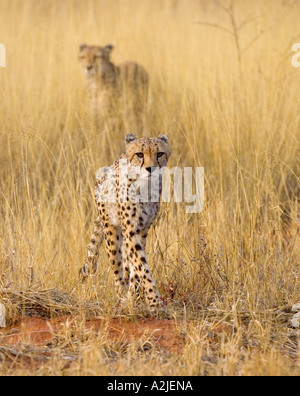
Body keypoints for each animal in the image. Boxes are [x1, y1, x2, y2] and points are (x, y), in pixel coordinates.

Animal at [80, 133, 171, 310]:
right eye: (139, 154)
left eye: (160, 154)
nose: (151, 168)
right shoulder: (131, 230)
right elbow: (142, 267)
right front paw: (154, 301)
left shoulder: (142, 231)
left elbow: (137, 268)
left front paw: (136, 295)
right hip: (111, 232)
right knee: (117, 269)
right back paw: (121, 294)